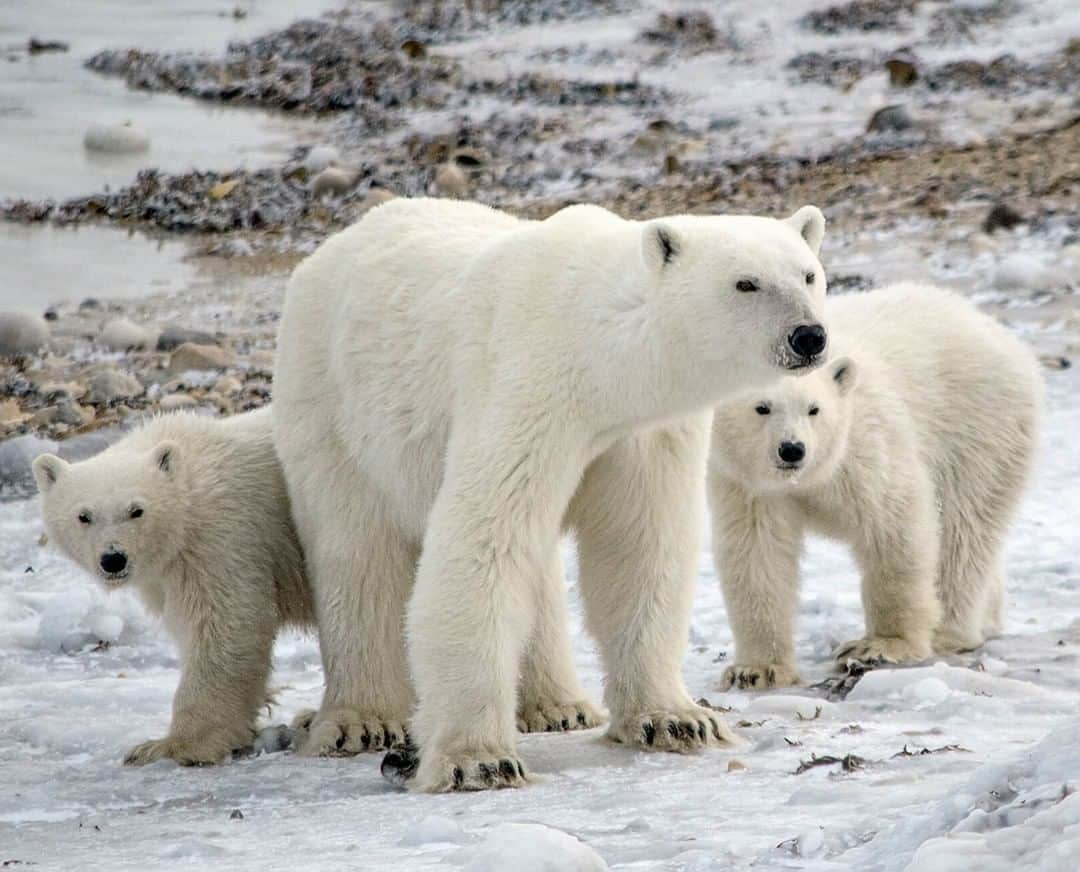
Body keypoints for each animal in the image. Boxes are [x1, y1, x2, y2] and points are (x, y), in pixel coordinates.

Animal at [274, 197, 829, 790]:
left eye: (807, 274)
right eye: (745, 282)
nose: (809, 336)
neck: (598, 350)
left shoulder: (642, 432)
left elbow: (639, 546)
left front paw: (677, 720)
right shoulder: (528, 390)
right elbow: (484, 536)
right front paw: (479, 759)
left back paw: (558, 705)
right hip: (332, 405)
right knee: (357, 553)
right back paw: (362, 721)